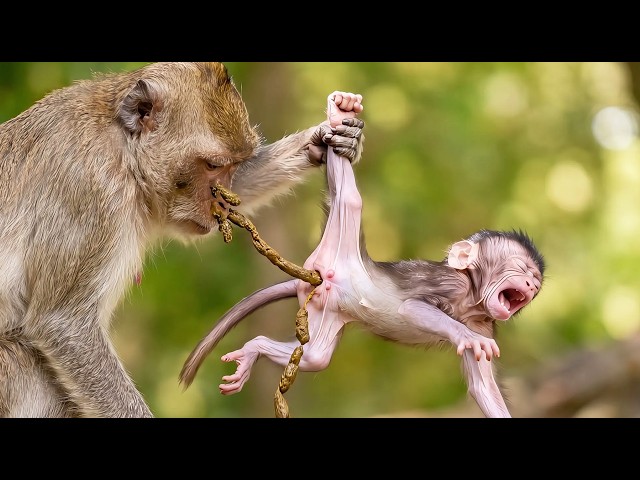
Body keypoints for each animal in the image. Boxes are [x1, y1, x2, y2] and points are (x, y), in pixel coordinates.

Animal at [0, 62, 365, 418]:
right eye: (213, 165)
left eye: (233, 165)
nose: (222, 205)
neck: (122, 149)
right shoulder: (89, 188)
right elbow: (63, 322)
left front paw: (323, 139)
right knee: (27, 364)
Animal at [179, 92, 545, 418]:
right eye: (520, 269)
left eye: (535, 282)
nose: (529, 284)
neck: (470, 300)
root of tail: (320, 278)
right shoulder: (448, 284)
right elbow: (412, 308)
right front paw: (462, 335)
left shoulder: (485, 323)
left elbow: (482, 387)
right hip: (338, 245)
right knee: (350, 201)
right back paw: (340, 114)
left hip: (323, 310)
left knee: (315, 358)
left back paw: (255, 347)